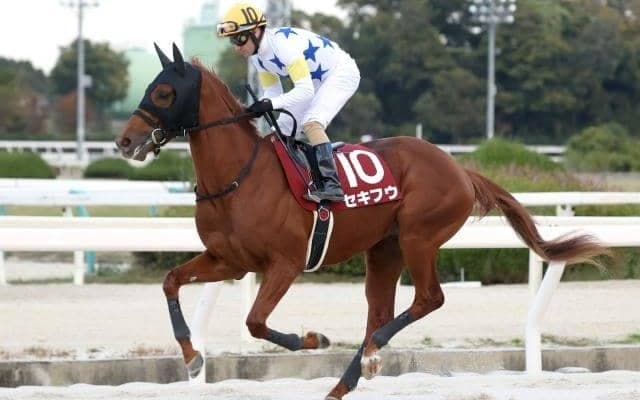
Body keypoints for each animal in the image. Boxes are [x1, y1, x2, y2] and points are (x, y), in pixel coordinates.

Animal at [115, 44, 609, 400]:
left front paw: (314, 339)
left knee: (428, 299)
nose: (125, 141)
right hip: (384, 249)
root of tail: (458, 167)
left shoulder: (285, 264)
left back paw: (370, 355)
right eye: (150, 87)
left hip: (419, 237)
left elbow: (255, 322)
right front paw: (192, 358)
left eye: (164, 92)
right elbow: (171, 282)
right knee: (381, 312)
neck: (239, 176)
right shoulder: (228, 261)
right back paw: (345, 381)